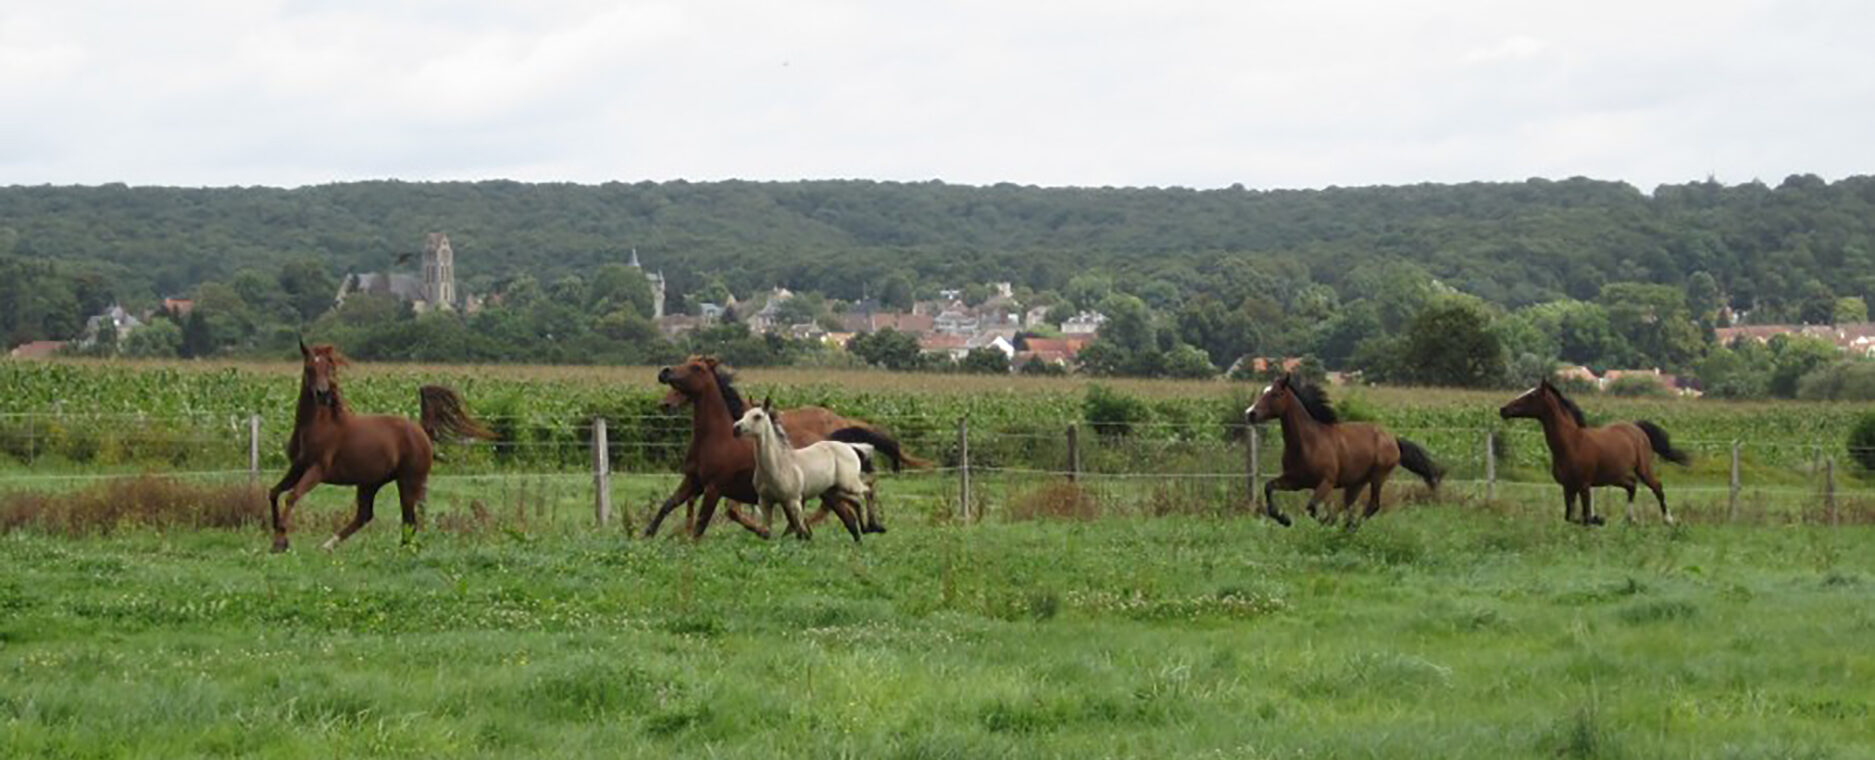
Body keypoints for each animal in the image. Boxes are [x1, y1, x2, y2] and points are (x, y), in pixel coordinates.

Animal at [270, 341, 498, 551]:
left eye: (330, 368)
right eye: (309, 367)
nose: (323, 394)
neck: (318, 425)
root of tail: (420, 429)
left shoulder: (317, 469)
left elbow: (291, 497)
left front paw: (281, 542)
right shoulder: (297, 467)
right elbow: (274, 492)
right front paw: (277, 538)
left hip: (409, 480)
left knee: (409, 519)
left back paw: (402, 550)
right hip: (370, 483)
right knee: (366, 515)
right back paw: (328, 546)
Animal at [735, 395, 873, 540]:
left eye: (757, 416)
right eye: (744, 414)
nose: (736, 428)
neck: (779, 465)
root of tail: (849, 446)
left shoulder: (794, 501)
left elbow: (802, 532)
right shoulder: (765, 501)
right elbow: (767, 533)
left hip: (849, 484)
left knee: (867, 491)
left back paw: (874, 526)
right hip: (834, 490)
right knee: (857, 501)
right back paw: (865, 529)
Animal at [1245, 373, 1447, 525]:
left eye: (1276, 394)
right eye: (1263, 392)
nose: (1250, 413)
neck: (1308, 443)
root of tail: (1393, 439)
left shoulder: (1326, 482)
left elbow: (1312, 508)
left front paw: (1324, 521)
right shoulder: (1294, 481)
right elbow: (1268, 487)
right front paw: (1283, 519)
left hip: (1378, 477)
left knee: (1372, 505)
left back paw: (1349, 528)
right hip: (1356, 483)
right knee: (1349, 505)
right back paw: (1345, 525)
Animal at [1500, 377, 1695, 525]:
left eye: (1531, 395)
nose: (1503, 410)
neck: (1571, 443)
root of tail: (1637, 428)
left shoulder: (1584, 486)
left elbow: (1584, 517)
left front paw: (1598, 519)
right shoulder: (1567, 487)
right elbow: (1569, 517)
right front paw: (1598, 519)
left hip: (1643, 469)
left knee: (1657, 487)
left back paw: (1668, 520)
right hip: (1615, 475)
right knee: (1632, 485)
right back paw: (1630, 519)